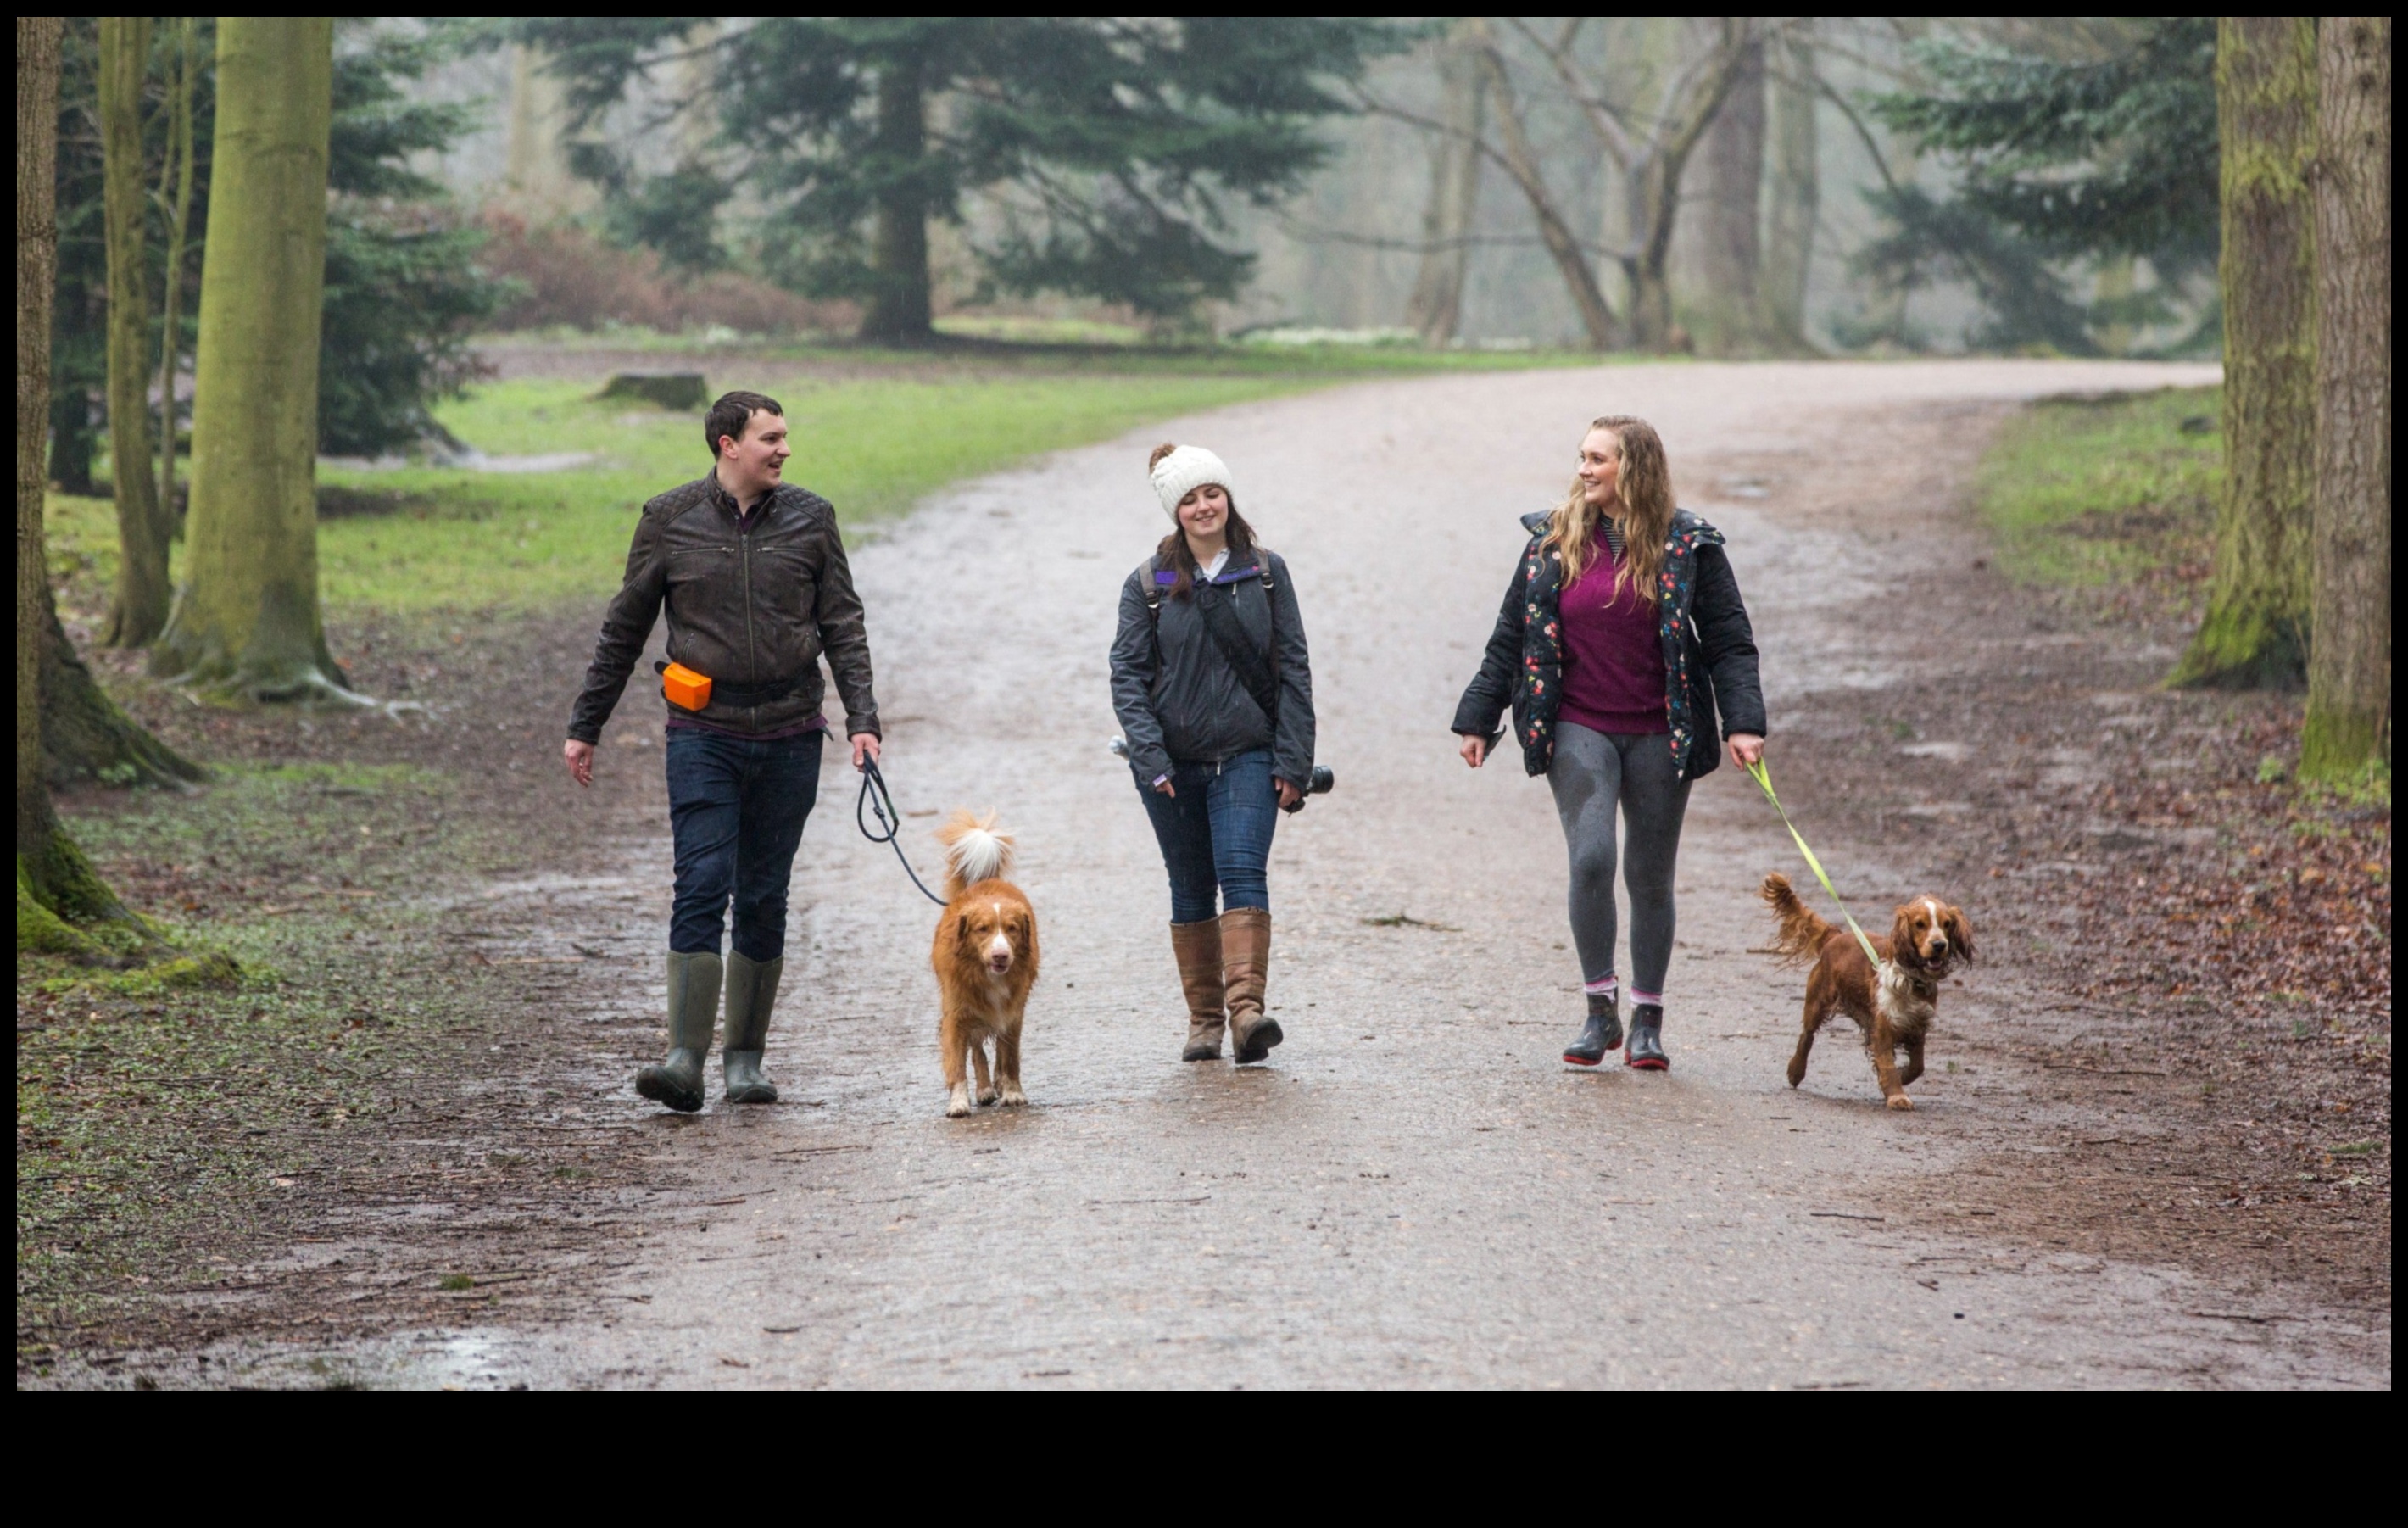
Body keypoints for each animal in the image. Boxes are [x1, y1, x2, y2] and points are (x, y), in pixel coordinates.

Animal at [929, 813, 1035, 1126]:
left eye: (1012, 929)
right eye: (982, 929)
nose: (1001, 955)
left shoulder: (1012, 1011)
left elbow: (1010, 1056)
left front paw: (1012, 1092)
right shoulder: (956, 1012)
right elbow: (957, 1062)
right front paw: (959, 1102)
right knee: (976, 1047)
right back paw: (986, 1088)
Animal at [1762, 871, 1965, 1112]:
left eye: (1947, 924)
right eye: (1919, 924)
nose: (1939, 945)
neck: (1910, 979)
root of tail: (1835, 936)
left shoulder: (1917, 1024)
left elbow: (1918, 1066)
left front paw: (1902, 1077)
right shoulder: (1883, 1024)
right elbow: (1887, 1064)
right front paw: (1897, 1096)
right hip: (1817, 1001)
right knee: (1807, 1035)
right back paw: (1795, 1071)